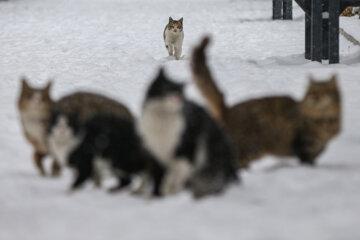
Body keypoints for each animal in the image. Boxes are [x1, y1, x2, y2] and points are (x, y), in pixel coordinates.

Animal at [138, 68, 239, 198]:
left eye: (180, 93)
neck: (162, 119)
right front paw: (160, 194)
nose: (178, 98)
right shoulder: (156, 154)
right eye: (167, 88)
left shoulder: (186, 151)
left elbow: (175, 175)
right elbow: (162, 178)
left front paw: (169, 191)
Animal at [190, 37, 342, 169]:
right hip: (251, 147)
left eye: (325, 91)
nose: (316, 98)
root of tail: (227, 110)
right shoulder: (304, 147)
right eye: (313, 92)